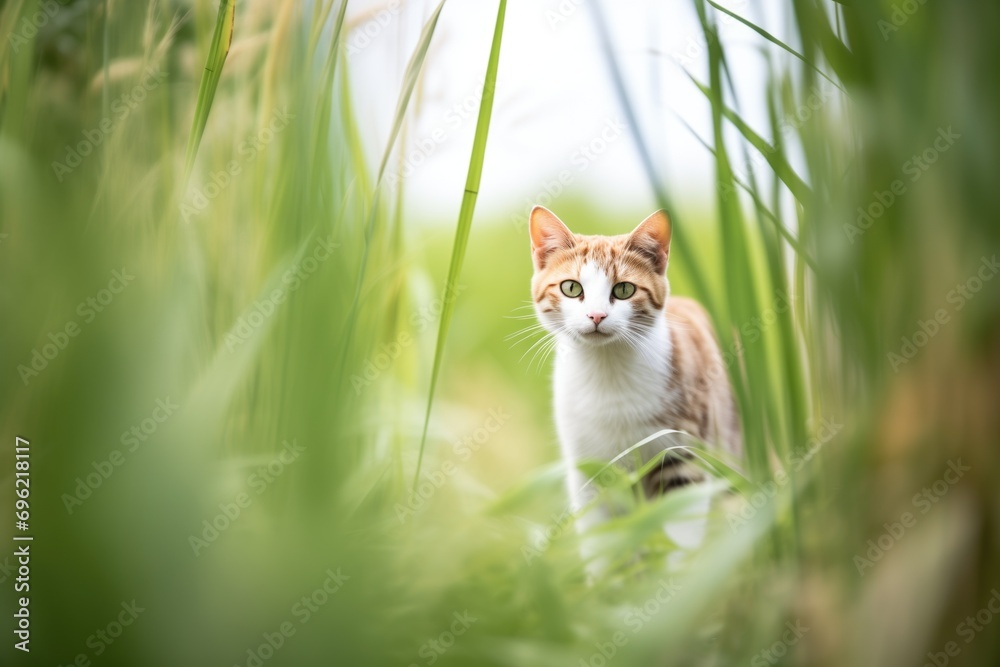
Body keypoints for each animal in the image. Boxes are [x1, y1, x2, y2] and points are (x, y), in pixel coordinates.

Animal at [532, 206, 744, 552]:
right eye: (571, 288)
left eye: (624, 290)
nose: (596, 316)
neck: (607, 371)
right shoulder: (588, 470)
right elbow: (601, 545)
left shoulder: (683, 457)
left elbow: (681, 536)